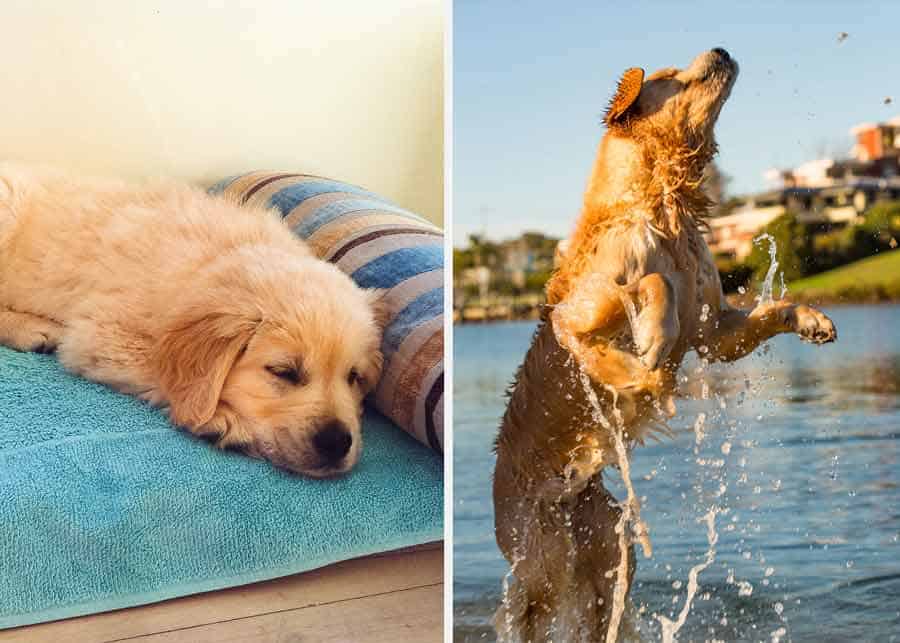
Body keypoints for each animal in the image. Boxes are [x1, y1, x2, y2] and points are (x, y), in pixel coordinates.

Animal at [0, 165, 384, 478]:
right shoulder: (99, 331)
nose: (337, 443)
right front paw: (222, 419)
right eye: (283, 372)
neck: (213, 260)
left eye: (354, 377)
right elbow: (157, 369)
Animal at [492, 47, 836, 640]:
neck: (661, 200)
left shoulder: (716, 332)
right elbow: (651, 285)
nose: (722, 49)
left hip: (608, 544)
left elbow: (762, 313)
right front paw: (650, 351)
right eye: (670, 76)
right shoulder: (576, 315)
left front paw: (811, 319)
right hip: (537, 566)